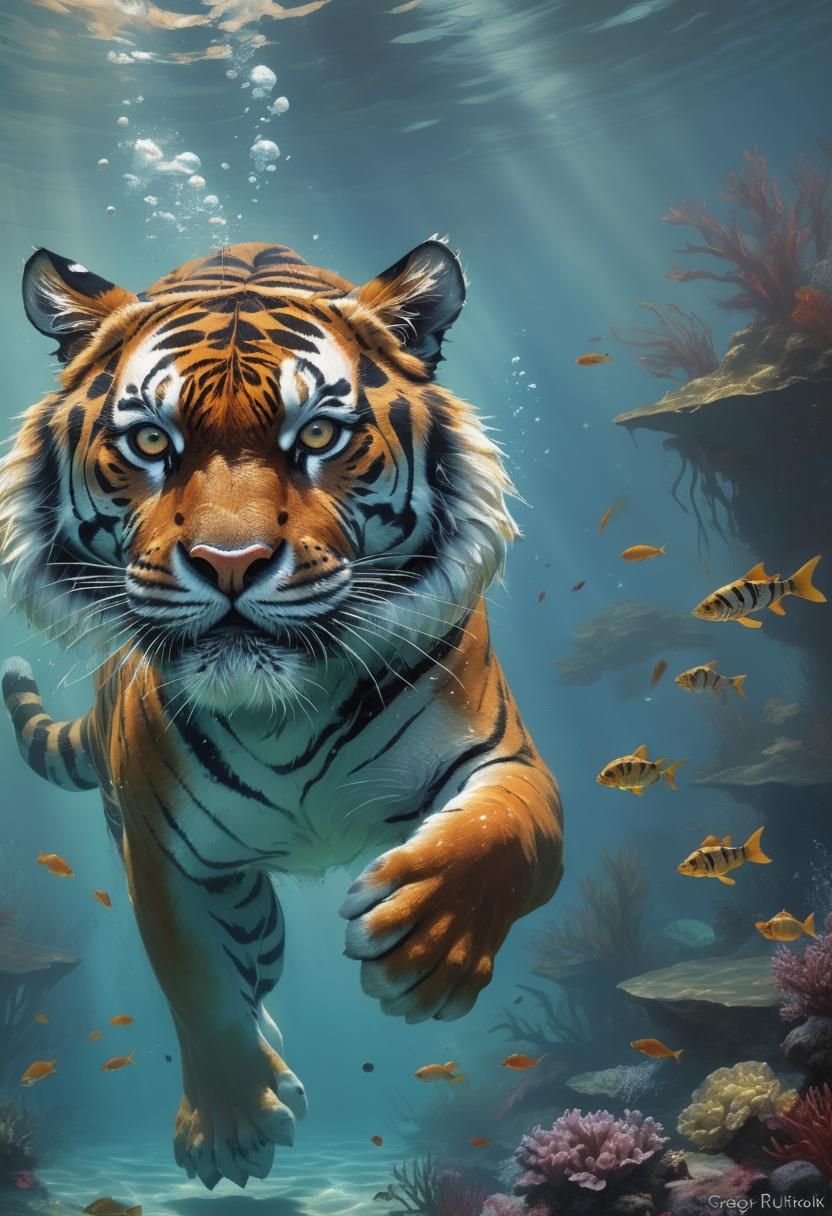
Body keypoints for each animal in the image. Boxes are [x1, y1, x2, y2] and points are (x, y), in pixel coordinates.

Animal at [0, 240, 563, 1189]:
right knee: (246, 973)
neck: (283, 705)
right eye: (149, 441)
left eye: (320, 437)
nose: (231, 562)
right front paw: (229, 1127)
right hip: (240, 898)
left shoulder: (505, 757)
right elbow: (194, 984)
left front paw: (427, 942)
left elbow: (508, 836)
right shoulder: (161, 852)